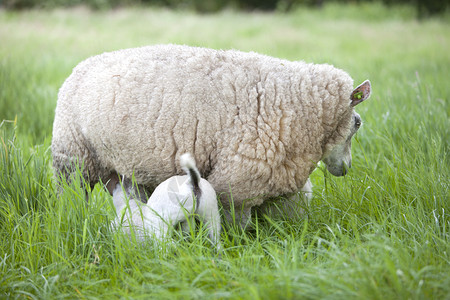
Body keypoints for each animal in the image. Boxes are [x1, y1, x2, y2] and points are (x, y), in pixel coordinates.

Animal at [51, 44, 372, 225]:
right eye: (356, 123)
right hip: (72, 158)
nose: (346, 168)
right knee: (70, 197)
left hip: (127, 169)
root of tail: (80, 67)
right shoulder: (239, 183)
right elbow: (238, 227)